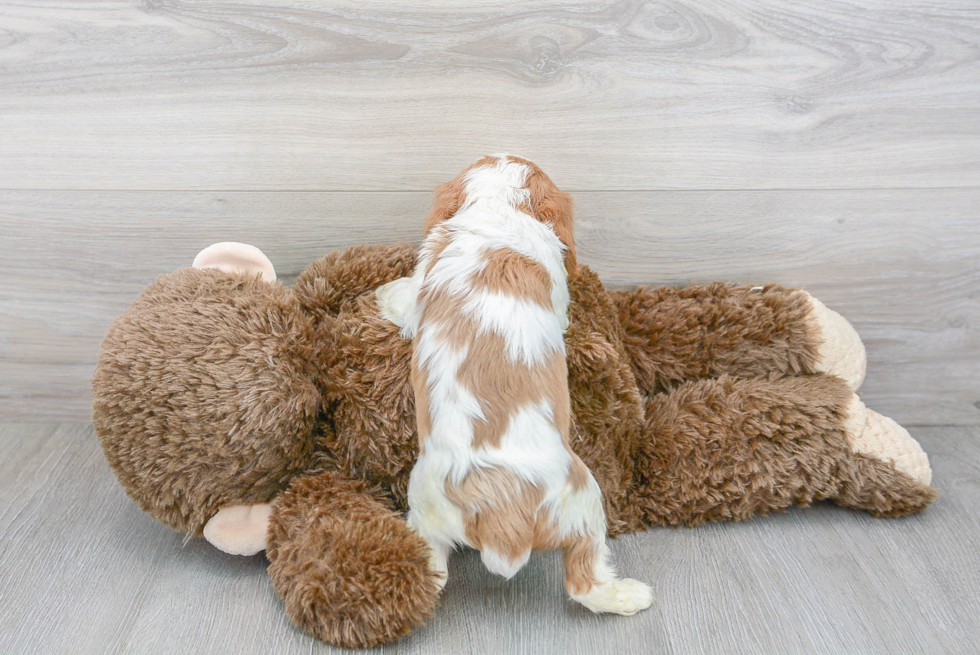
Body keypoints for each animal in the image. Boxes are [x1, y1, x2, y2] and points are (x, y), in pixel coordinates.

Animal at [378, 154, 656, 616]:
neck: (497, 209)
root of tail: (502, 517)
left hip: (429, 513)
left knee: (432, 577)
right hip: (584, 497)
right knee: (584, 580)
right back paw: (629, 595)